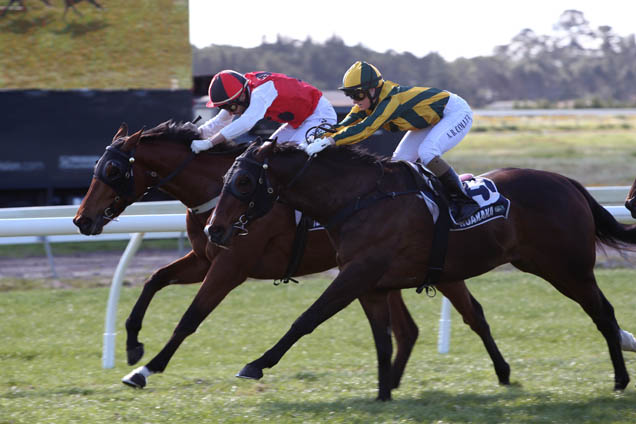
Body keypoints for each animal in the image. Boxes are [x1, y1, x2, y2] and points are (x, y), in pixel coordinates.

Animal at [73, 121, 512, 390]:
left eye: (113, 171)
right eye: (96, 166)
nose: (81, 219)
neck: (217, 191)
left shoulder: (231, 266)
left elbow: (190, 318)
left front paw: (146, 369)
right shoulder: (205, 258)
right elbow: (154, 280)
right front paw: (133, 344)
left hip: (430, 269)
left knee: (470, 315)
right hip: (380, 273)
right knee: (407, 330)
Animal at [207, 139, 636, 400]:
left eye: (243, 181)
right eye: (224, 178)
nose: (215, 229)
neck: (358, 199)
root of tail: (568, 182)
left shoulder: (356, 275)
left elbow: (307, 319)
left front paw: (255, 365)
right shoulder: (371, 285)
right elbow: (383, 340)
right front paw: (382, 395)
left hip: (567, 268)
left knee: (603, 313)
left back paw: (619, 379)